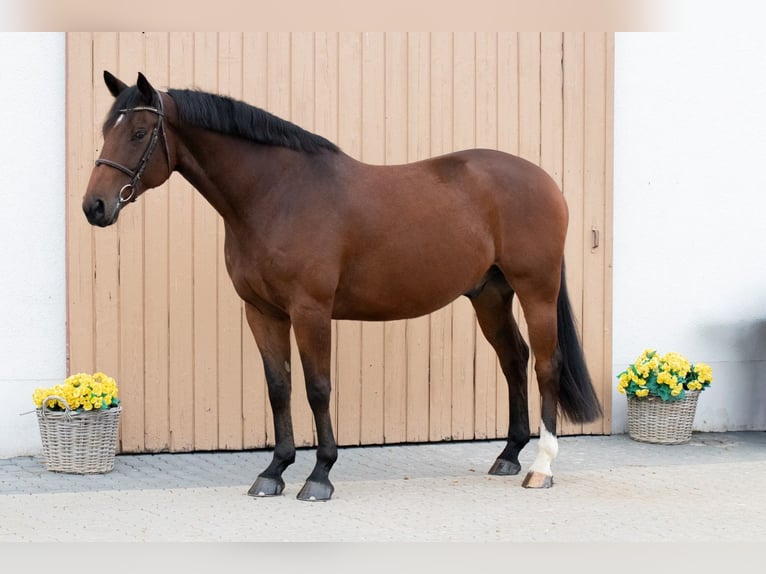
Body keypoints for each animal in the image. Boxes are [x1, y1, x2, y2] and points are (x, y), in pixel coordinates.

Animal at [81, 73, 604, 504]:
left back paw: (540, 468)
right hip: (489, 295)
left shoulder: (310, 310)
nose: (94, 207)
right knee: (513, 359)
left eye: (139, 133)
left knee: (546, 365)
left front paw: (319, 476)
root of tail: (544, 180)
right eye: (106, 130)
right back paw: (509, 456)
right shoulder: (261, 311)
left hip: (536, 289)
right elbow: (278, 387)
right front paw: (273, 472)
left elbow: (317, 388)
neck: (276, 194)